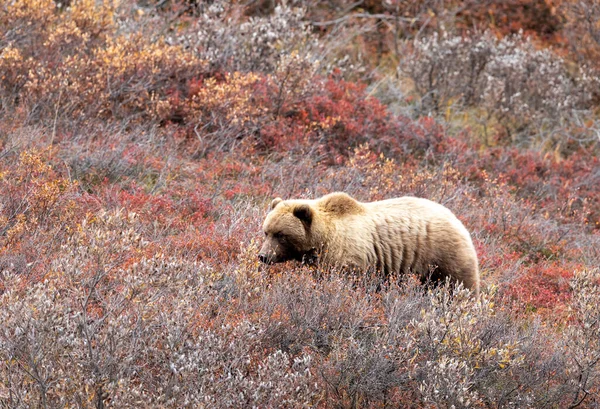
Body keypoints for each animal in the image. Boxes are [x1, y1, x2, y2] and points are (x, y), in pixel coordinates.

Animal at [258, 191, 478, 294]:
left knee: (460, 285)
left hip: (443, 255)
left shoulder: (349, 256)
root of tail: (457, 220)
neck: (323, 240)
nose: (263, 256)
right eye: (266, 231)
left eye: (281, 235)